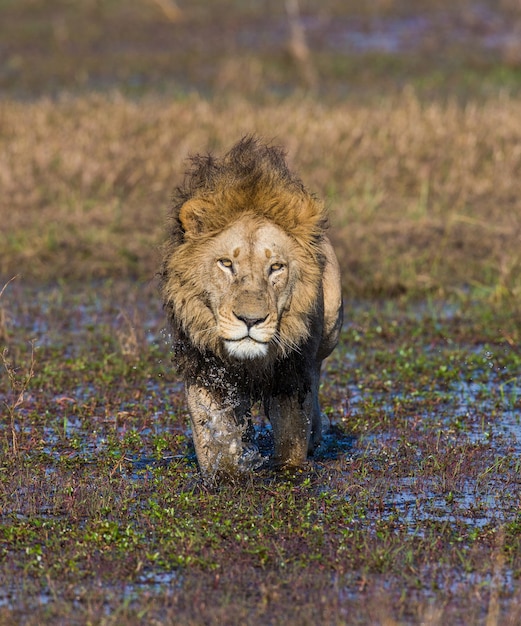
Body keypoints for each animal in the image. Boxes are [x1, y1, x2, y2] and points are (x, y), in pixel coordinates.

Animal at [160, 136, 344, 478]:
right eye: (226, 264)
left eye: (276, 267)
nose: (250, 319)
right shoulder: (204, 369)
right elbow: (213, 435)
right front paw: (227, 471)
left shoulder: (291, 373)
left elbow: (291, 436)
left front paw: (289, 469)